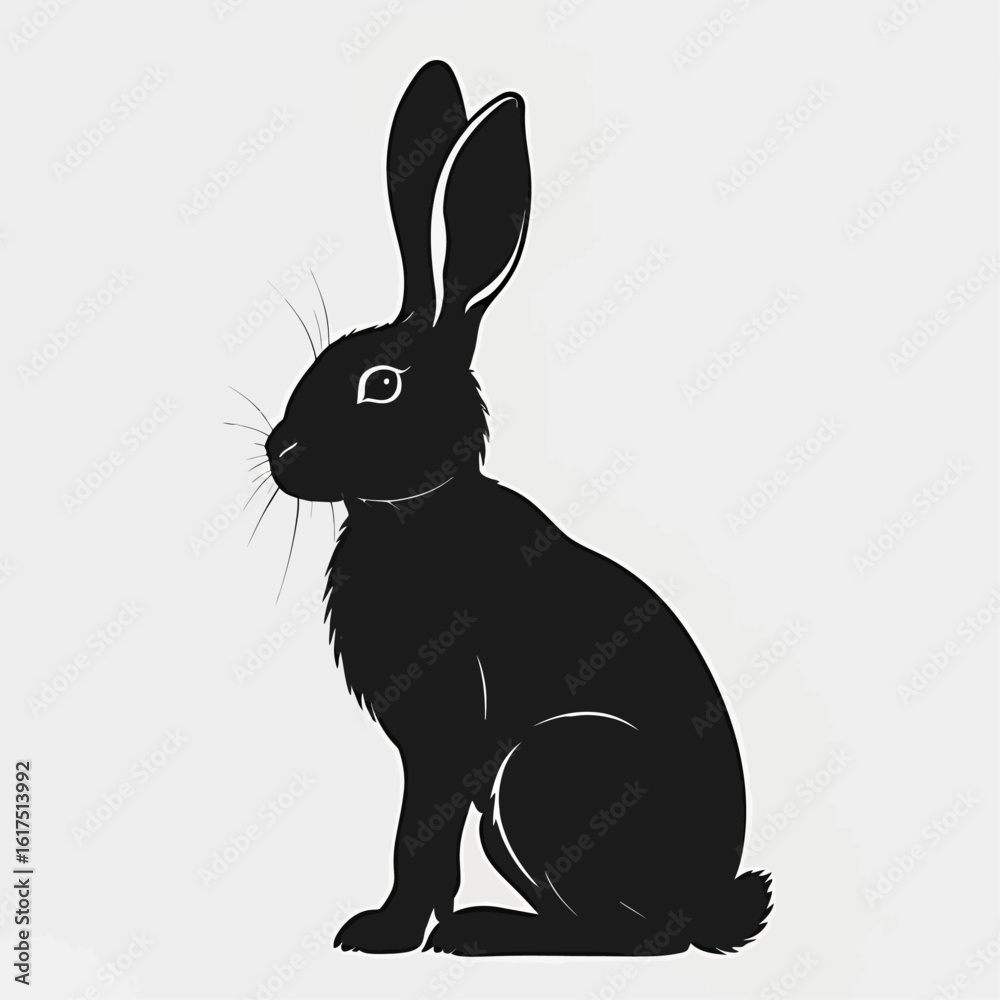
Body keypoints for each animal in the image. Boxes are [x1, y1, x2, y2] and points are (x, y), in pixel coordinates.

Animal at [260, 60, 771, 957]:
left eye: (380, 385)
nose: (277, 454)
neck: (416, 513)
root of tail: (709, 904)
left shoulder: (446, 733)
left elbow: (417, 836)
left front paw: (382, 933)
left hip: (550, 771)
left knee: (635, 936)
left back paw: (484, 933)